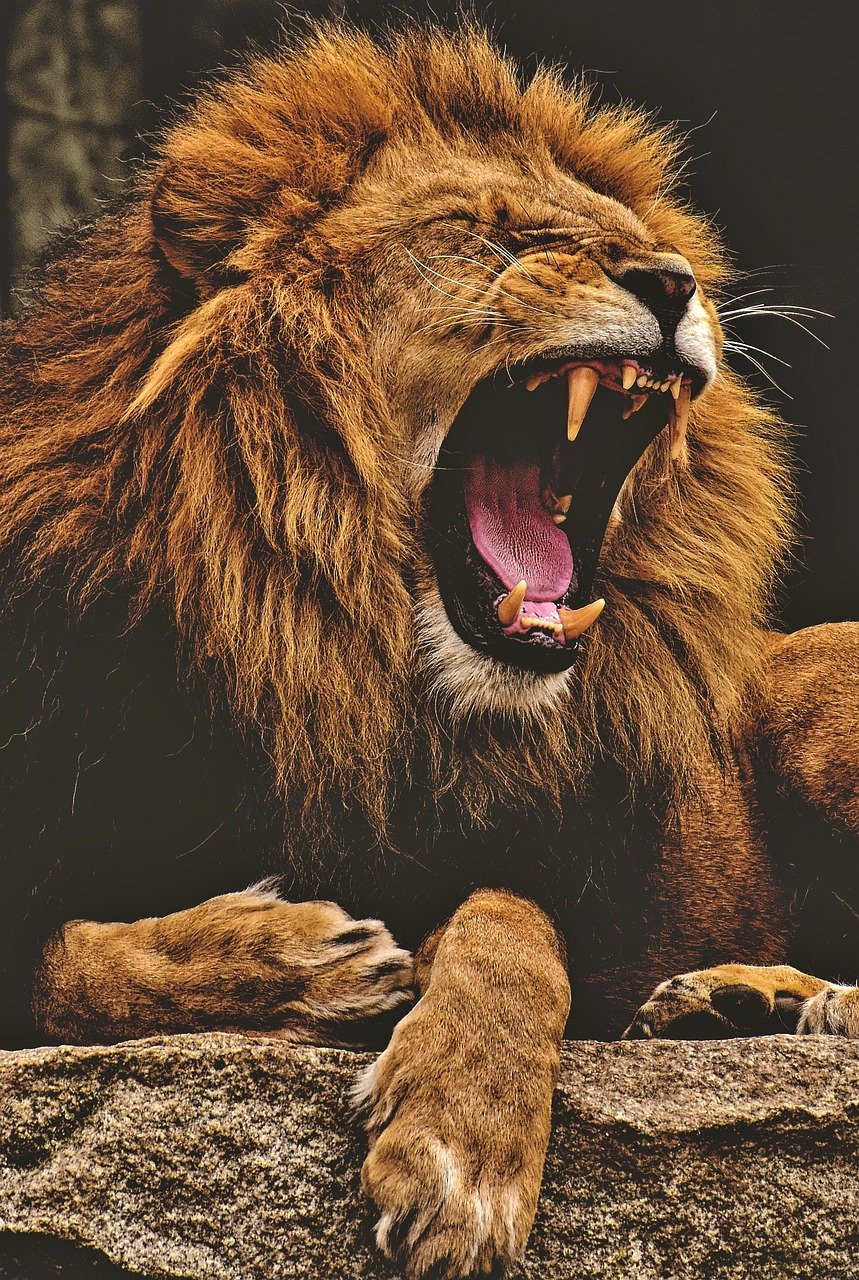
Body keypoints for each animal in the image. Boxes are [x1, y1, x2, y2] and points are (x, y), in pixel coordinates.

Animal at [0, 20, 856, 1279]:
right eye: (487, 231)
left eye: (639, 241)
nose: (672, 282)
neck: (338, 660)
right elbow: (68, 963)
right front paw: (299, 958)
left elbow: (508, 916)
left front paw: (459, 1148)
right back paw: (727, 1001)